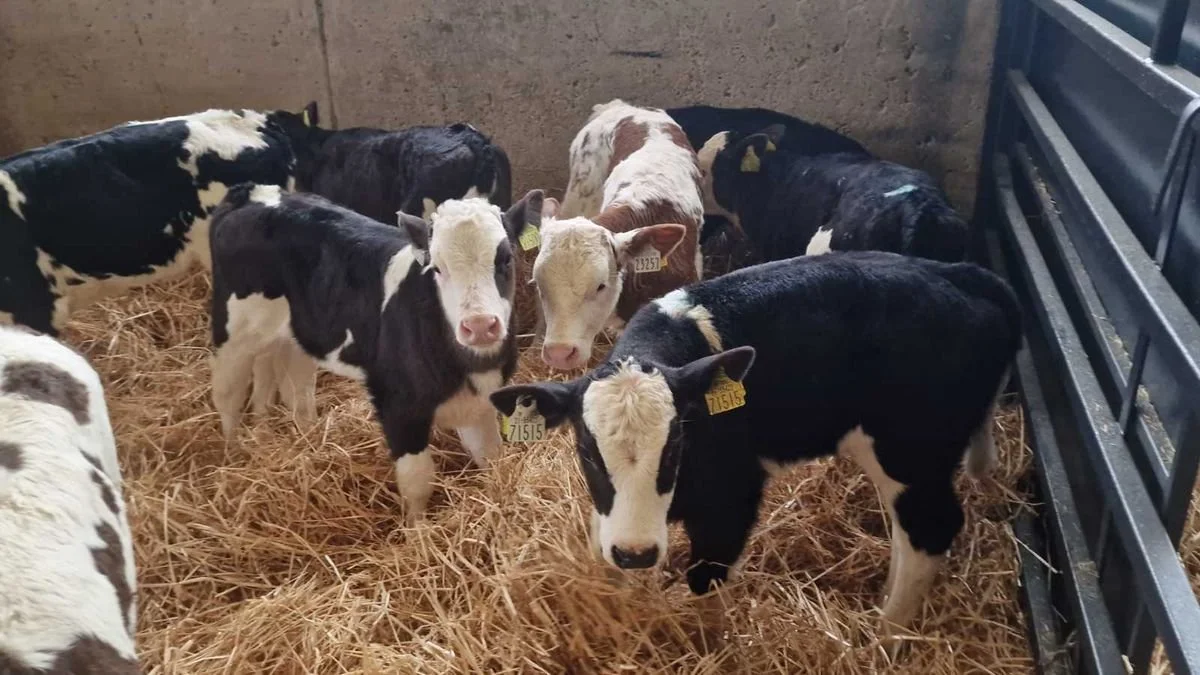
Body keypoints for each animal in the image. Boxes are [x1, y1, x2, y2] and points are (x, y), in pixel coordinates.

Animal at [208, 183, 543, 520]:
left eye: (506, 259)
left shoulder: (480, 402)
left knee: (289, 386)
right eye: (437, 268)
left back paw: (294, 437)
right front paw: (418, 532)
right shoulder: (397, 407)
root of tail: (253, 192)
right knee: (228, 394)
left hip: (291, 334)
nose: (480, 325)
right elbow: (417, 482)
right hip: (234, 331)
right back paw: (234, 453)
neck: (468, 366)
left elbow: (491, 457)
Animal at [490, 251, 1020, 638]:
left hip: (911, 454)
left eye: (677, 444)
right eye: (587, 451)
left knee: (930, 531)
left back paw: (884, 635)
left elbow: (706, 579)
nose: (636, 552)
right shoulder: (612, 521)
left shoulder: (732, 499)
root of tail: (958, 273)